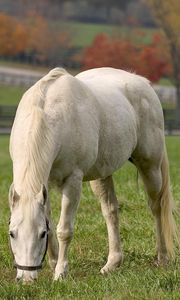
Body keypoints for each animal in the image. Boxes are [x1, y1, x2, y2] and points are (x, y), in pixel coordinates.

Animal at [9, 67, 178, 282]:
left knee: (157, 208)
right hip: (102, 175)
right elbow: (52, 223)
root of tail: (143, 82)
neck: (50, 115)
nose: (27, 279)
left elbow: (64, 229)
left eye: (40, 234)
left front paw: (60, 273)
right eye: (12, 233)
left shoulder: (73, 181)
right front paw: (54, 264)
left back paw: (162, 257)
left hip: (150, 166)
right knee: (111, 211)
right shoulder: (43, 184)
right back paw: (112, 264)